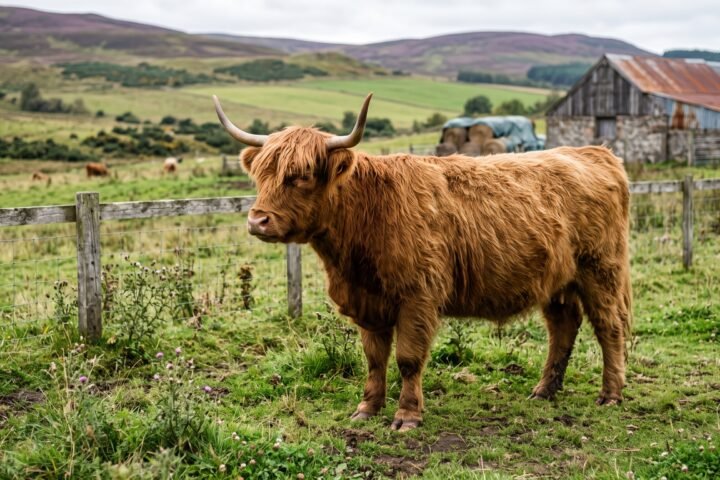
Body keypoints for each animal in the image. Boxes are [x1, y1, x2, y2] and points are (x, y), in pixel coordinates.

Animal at [213, 94, 632, 431]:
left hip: (600, 270)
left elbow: (408, 359)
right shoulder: (370, 300)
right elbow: (374, 358)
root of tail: (594, 152)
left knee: (608, 327)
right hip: (558, 280)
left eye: (299, 176)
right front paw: (367, 408)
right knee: (563, 327)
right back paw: (544, 390)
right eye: (260, 174)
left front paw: (407, 416)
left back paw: (610, 394)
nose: (257, 220)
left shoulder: (418, 295)